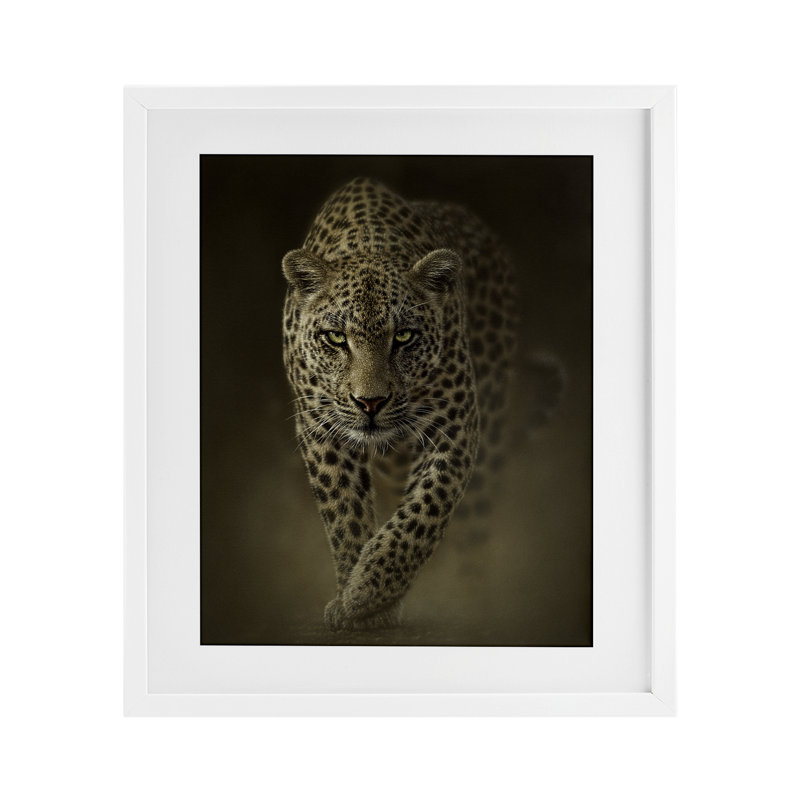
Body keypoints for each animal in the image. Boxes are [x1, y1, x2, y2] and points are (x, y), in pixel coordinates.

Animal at [281, 177, 516, 631]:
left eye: (404, 336)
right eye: (336, 338)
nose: (370, 402)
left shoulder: (454, 423)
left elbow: (424, 512)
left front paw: (369, 593)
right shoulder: (319, 426)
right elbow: (344, 511)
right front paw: (358, 600)